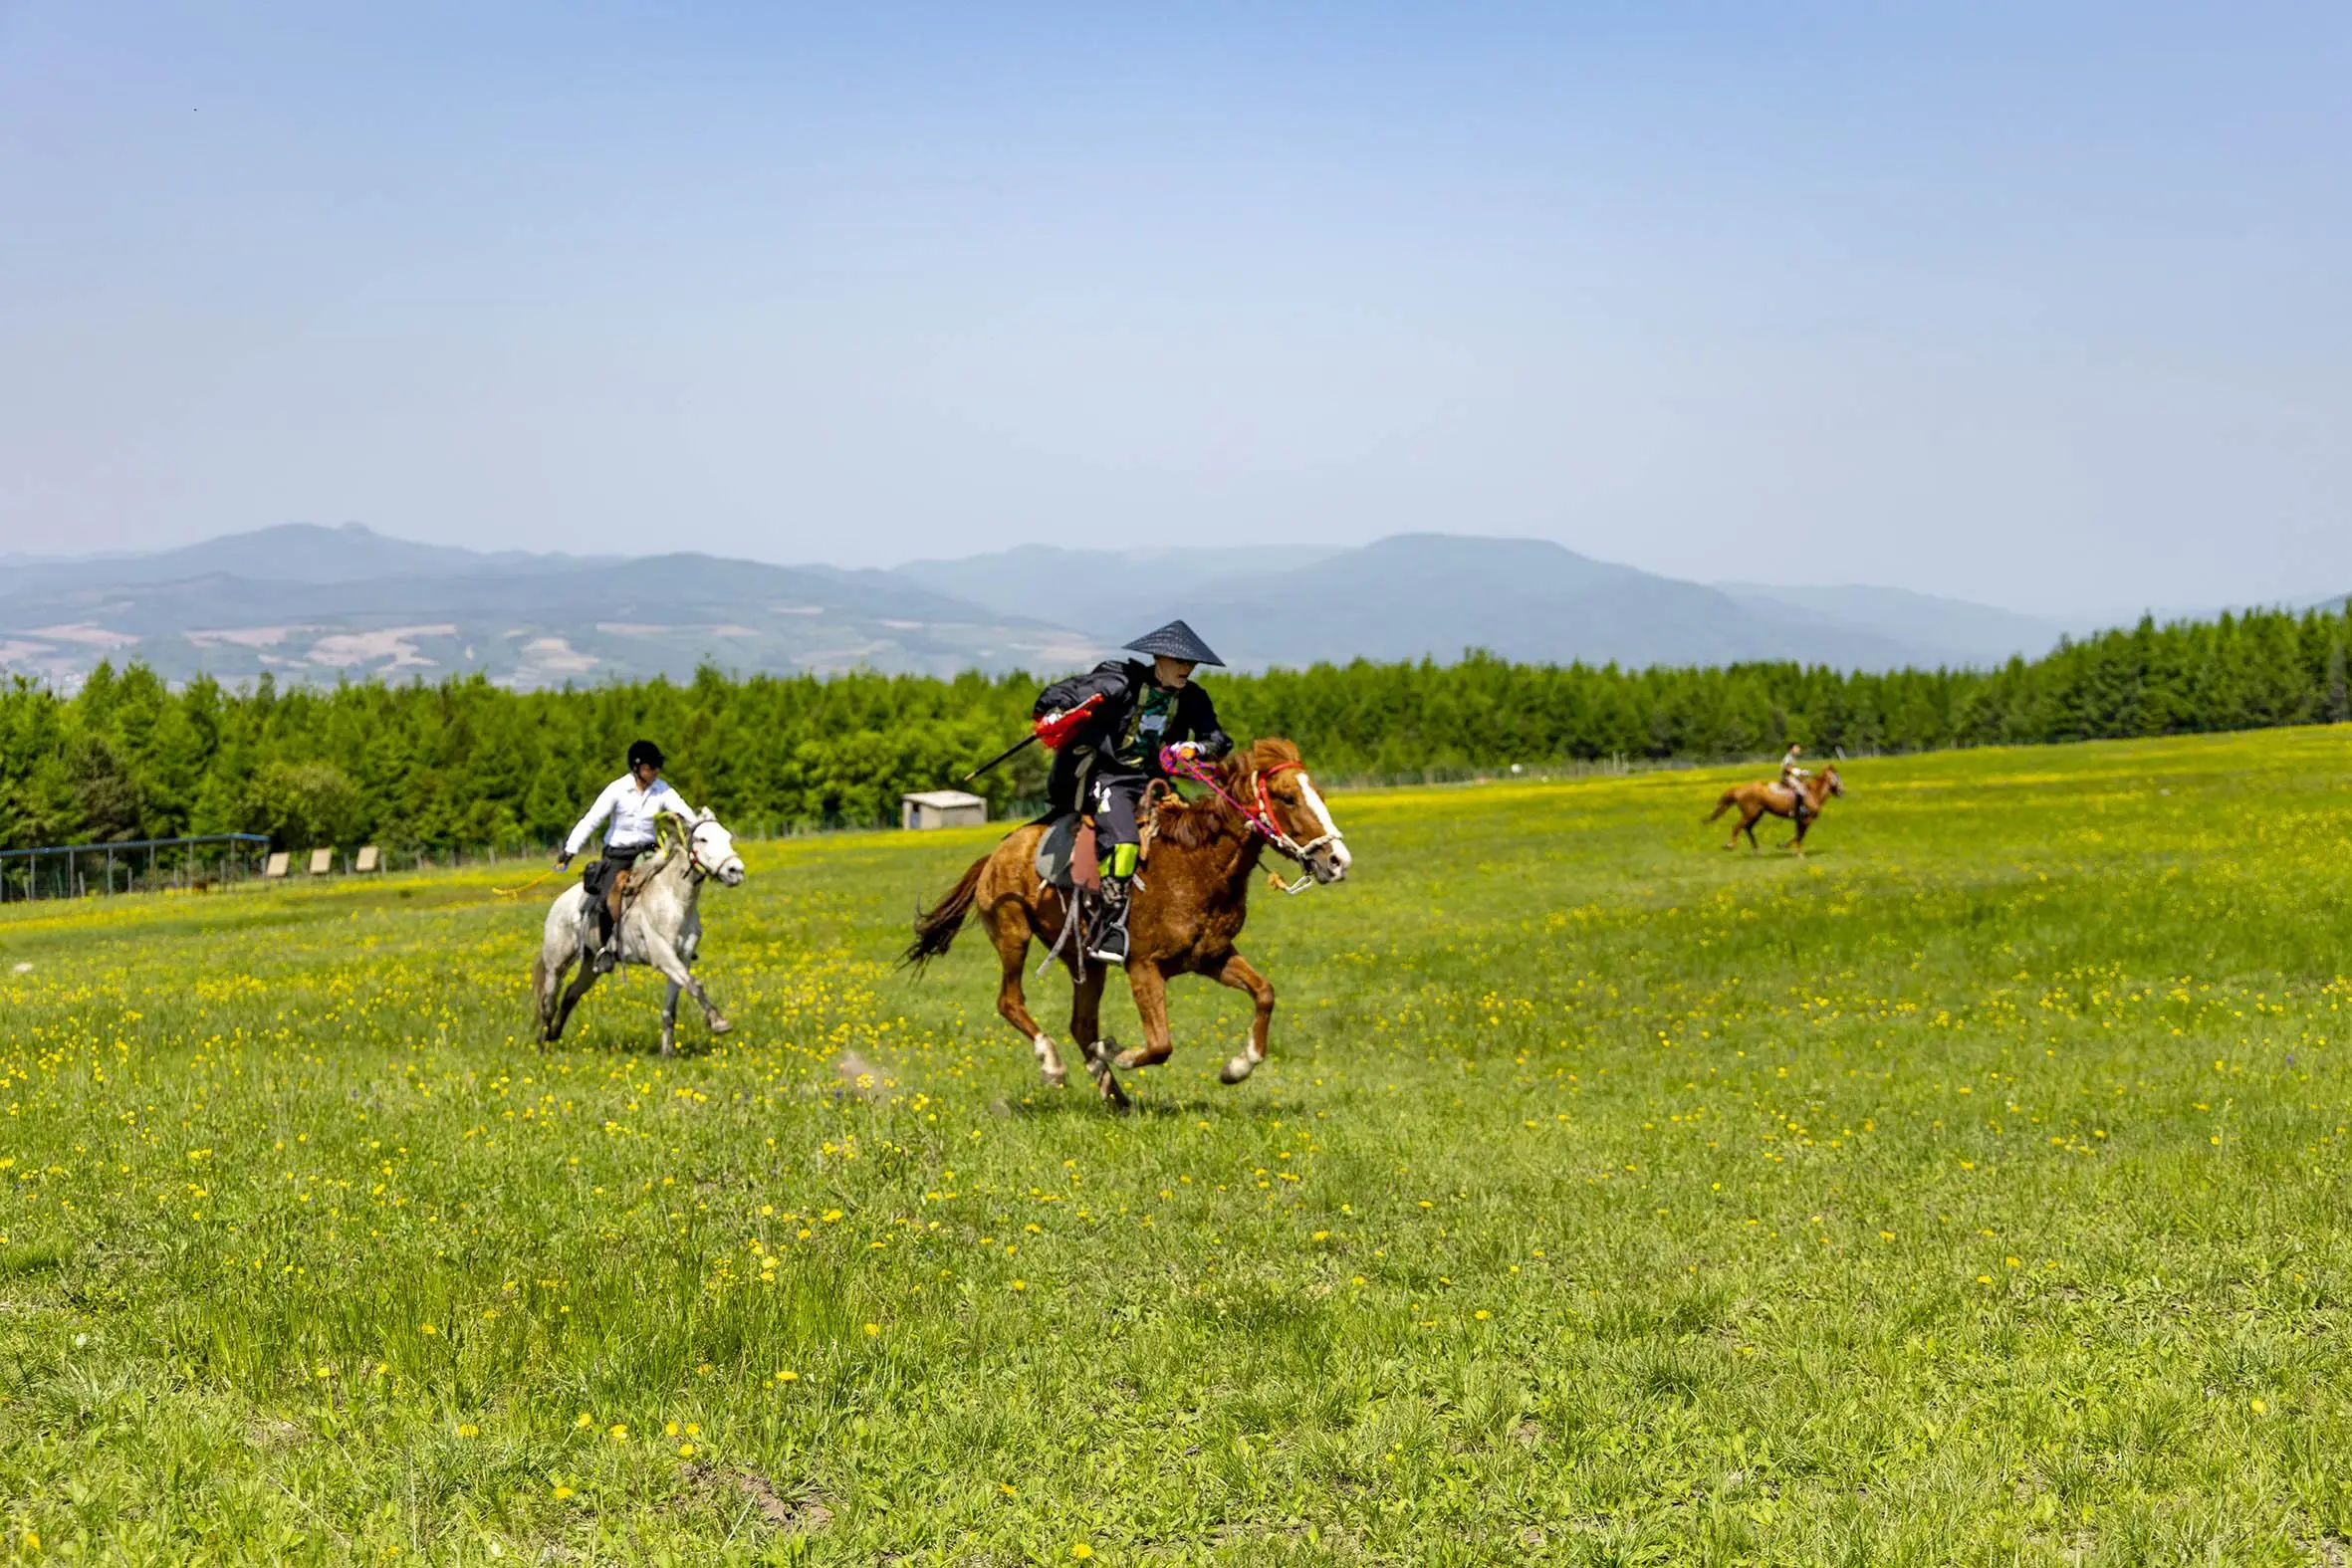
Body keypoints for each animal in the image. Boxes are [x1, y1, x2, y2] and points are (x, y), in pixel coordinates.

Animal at [536, 822, 748, 1052]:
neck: (673, 900)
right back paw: (541, 1046)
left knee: (570, 994)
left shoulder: (681, 958)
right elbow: (694, 984)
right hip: (556, 964)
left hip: (591, 964)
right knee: (548, 1002)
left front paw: (668, 1051)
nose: (736, 870)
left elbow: (672, 1006)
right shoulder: (663, 956)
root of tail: (559, 902)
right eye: (703, 839)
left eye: (727, 837)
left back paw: (553, 1035)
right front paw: (719, 1022)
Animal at [898, 743, 1354, 1109]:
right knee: (1010, 1001)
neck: (1196, 865)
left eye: (1319, 794)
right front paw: (1117, 1051)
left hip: (1084, 960)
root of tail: (995, 854)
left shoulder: (1212, 957)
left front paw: (1237, 1067)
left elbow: (1265, 993)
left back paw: (1114, 1096)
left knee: (1080, 1023)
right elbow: (1160, 1044)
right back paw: (1054, 1064)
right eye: (1287, 797)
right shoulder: (1143, 967)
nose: (1338, 861)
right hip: (1014, 935)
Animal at [1703, 766, 1843, 850]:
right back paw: (1730, 845)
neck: (1812, 793)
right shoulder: (1806, 819)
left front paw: (1783, 845)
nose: (1842, 791)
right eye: (1837, 776)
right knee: (1737, 827)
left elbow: (1798, 835)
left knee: (1747, 828)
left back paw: (1756, 849)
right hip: (1750, 814)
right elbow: (1799, 836)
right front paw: (1792, 850)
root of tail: (1740, 789)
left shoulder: (1800, 820)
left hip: (1757, 814)